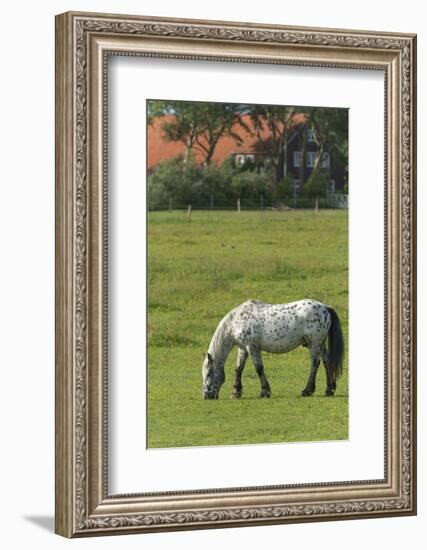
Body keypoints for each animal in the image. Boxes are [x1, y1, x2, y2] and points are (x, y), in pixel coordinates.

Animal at [202, 302, 346, 402]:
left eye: (208, 374)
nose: (206, 395)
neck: (236, 322)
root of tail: (325, 307)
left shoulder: (252, 347)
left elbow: (259, 368)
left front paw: (265, 392)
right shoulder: (243, 348)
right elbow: (239, 369)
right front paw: (236, 392)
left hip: (314, 344)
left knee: (315, 364)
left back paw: (307, 391)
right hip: (320, 344)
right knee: (326, 362)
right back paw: (329, 389)